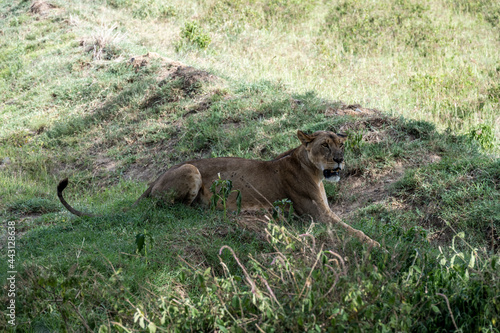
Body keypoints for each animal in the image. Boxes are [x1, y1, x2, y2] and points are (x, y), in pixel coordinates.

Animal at [57, 130, 378, 246]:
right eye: (325, 145)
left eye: (341, 145)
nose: (340, 159)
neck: (311, 168)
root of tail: (152, 180)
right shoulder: (316, 214)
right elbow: (354, 230)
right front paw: (376, 244)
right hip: (191, 169)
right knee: (168, 209)